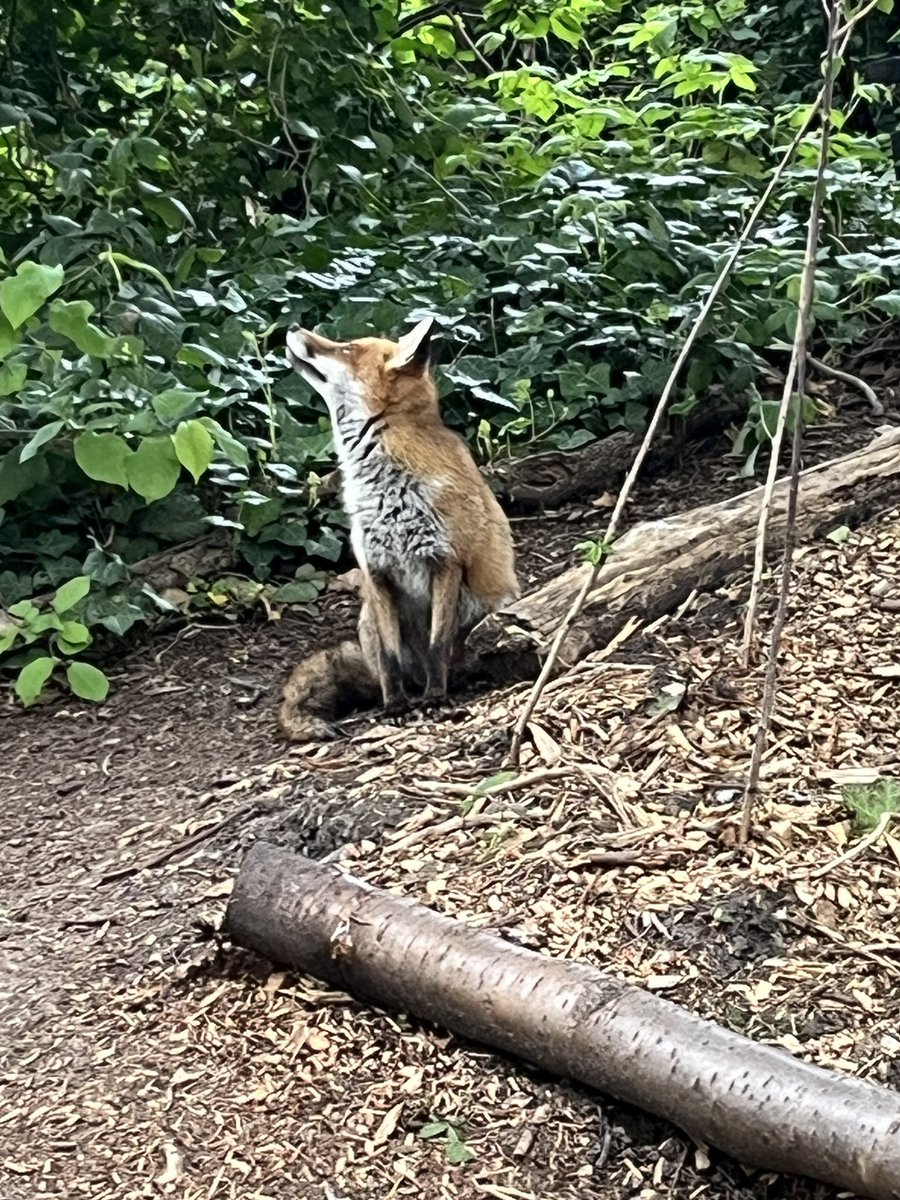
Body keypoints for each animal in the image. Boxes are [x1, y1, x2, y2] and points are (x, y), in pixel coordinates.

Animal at [280, 316, 520, 739]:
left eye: (346, 349)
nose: (293, 325)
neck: (386, 490)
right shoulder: (377, 573)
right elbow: (391, 659)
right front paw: (396, 707)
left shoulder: (445, 562)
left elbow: (438, 643)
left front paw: (436, 698)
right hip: (368, 621)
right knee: (386, 671)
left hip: (494, 605)